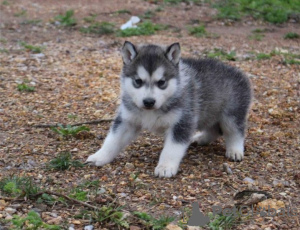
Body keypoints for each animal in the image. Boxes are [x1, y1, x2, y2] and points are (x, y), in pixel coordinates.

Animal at [85, 41, 252, 178]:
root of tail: (239, 72)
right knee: (214, 130)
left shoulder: (182, 122)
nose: (148, 102)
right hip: (208, 114)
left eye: (161, 82)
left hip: (231, 114)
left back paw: (235, 150)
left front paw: (165, 167)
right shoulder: (127, 120)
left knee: (235, 132)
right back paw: (199, 138)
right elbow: (112, 140)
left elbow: (172, 149)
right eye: (138, 81)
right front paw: (99, 156)